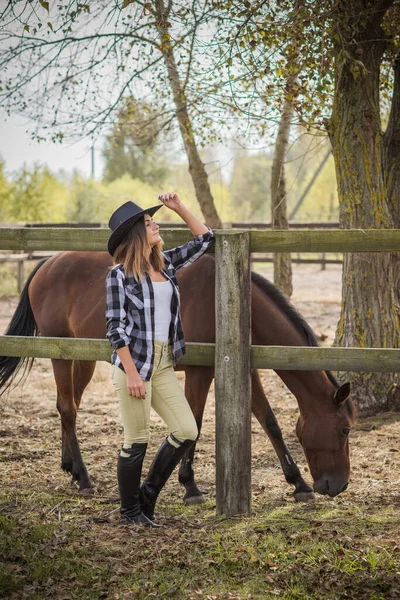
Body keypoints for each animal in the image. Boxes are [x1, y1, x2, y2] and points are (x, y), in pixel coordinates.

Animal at [0, 252, 356, 502]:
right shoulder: (200, 372)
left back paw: (71, 469)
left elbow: (269, 422)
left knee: (68, 407)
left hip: (81, 359)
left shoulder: (248, 372)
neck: (228, 301)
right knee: (68, 408)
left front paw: (298, 483)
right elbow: (194, 423)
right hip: (60, 354)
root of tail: (47, 264)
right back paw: (84, 478)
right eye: (345, 429)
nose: (338, 486)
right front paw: (190, 486)